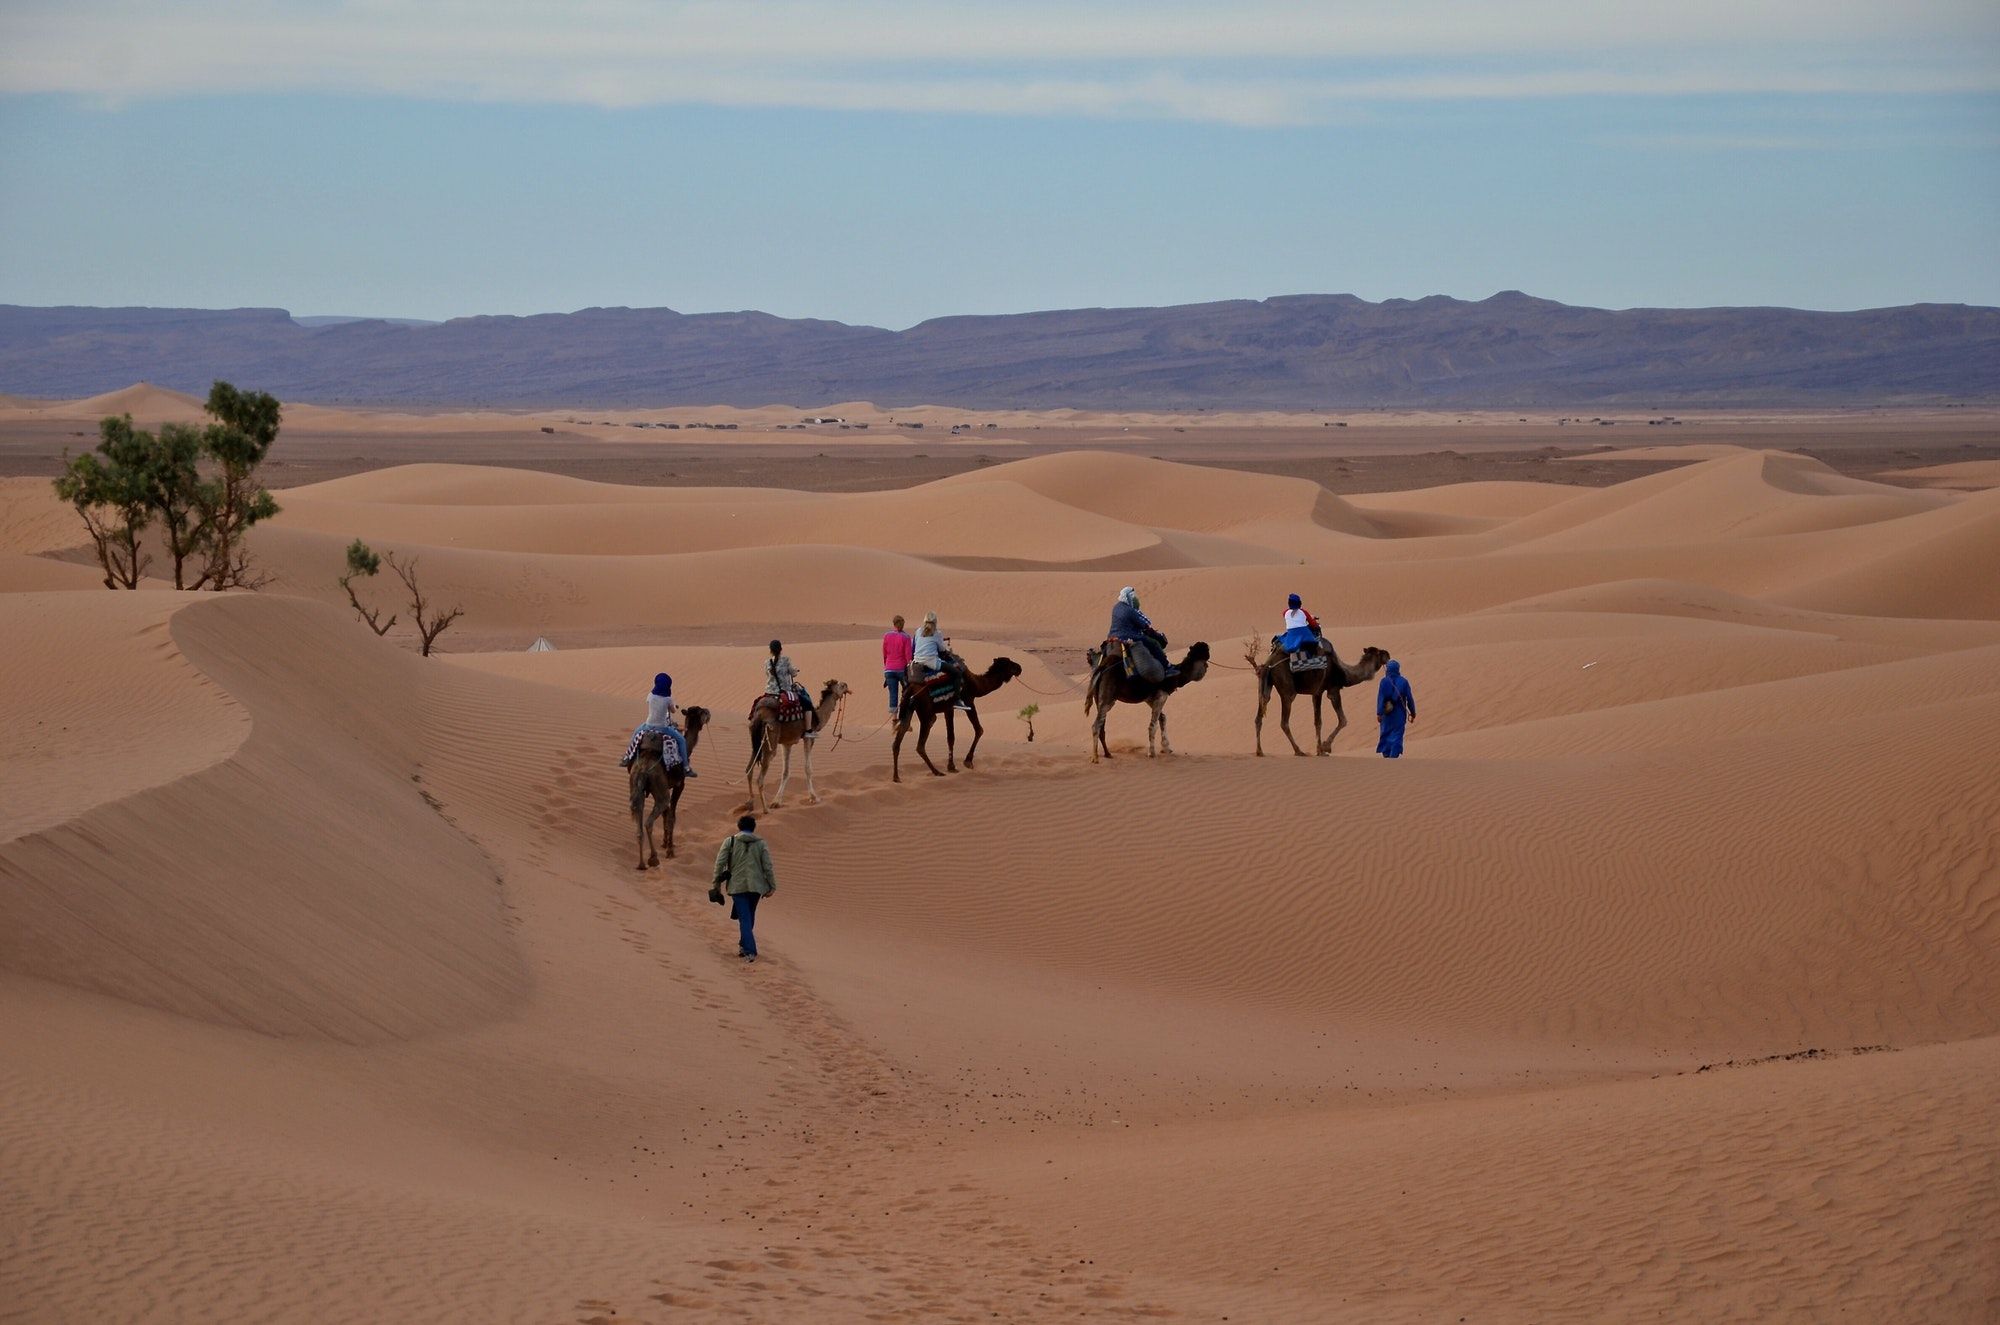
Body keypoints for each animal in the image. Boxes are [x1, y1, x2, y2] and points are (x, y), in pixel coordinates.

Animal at [636, 704, 716, 872]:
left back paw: (642, 862)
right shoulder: (679, 785)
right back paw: (652, 859)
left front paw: (666, 842)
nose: (709, 712)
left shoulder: (665, 787)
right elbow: (672, 816)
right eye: (703, 712)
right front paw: (670, 850)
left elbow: (666, 814)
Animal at [748, 680, 848, 816]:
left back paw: (749, 804)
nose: (847, 686)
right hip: (770, 739)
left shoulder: (787, 743)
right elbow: (808, 768)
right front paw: (814, 798)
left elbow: (785, 772)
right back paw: (765, 809)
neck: (817, 718)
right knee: (760, 778)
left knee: (748, 771)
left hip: (756, 742)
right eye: (842, 686)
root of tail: (759, 714)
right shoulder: (808, 738)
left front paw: (776, 802)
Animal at [904, 660, 1032, 784]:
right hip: (926, 712)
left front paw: (951, 766)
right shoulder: (969, 701)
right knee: (920, 742)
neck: (976, 684)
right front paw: (967, 761)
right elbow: (979, 729)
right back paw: (935, 772)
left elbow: (950, 737)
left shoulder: (949, 708)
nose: (1019, 668)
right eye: (1009, 663)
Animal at [1248, 644, 1392, 756]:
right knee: (1284, 721)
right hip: (1287, 688)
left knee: (1259, 716)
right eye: (1379, 652)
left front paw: (1319, 750)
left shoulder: (1316, 693)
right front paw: (1325, 747)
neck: (1344, 673)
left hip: (1265, 687)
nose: (1388, 653)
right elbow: (1343, 720)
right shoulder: (1333, 690)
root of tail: (1268, 665)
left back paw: (1260, 751)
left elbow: (1317, 721)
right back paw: (1299, 751)